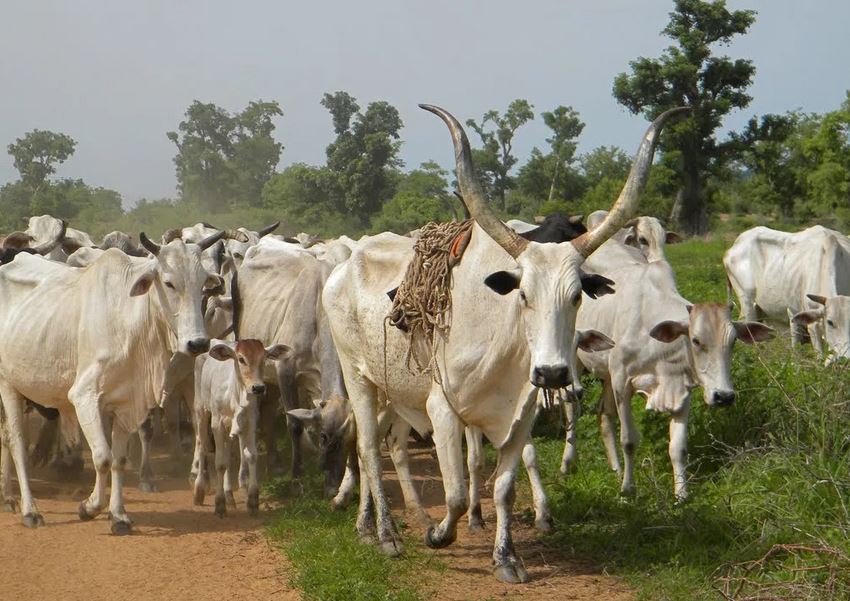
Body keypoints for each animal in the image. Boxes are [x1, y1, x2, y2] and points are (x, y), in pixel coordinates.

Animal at [0, 230, 225, 532]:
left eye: (203, 284)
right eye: (168, 283)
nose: (198, 343)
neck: (130, 320)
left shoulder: (128, 405)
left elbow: (117, 459)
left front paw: (118, 515)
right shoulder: (84, 397)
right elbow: (102, 457)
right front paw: (89, 507)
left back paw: (9, 496)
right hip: (8, 385)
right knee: (16, 442)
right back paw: (29, 510)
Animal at [192, 339, 290, 516]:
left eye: (264, 358)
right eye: (241, 359)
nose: (258, 388)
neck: (235, 395)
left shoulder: (250, 422)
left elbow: (250, 456)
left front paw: (252, 500)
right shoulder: (217, 424)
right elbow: (220, 463)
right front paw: (219, 504)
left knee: (229, 454)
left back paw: (229, 496)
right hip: (201, 410)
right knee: (202, 446)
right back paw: (200, 489)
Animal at [322, 104, 685, 582]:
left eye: (576, 296)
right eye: (523, 295)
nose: (552, 372)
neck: (503, 345)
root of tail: (344, 266)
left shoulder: (520, 414)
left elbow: (506, 489)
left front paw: (506, 557)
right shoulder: (442, 409)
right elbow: (457, 494)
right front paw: (439, 535)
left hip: (393, 389)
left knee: (381, 448)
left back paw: (371, 523)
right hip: (357, 375)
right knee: (366, 447)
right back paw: (385, 534)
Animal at [570, 236, 774, 501]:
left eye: (733, 342)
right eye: (695, 340)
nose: (724, 396)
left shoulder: (681, 389)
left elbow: (678, 448)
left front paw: (682, 494)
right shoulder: (622, 382)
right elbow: (629, 441)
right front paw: (628, 490)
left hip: (605, 374)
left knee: (604, 415)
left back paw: (615, 469)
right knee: (572, 407)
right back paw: (569, 464)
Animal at [724, 225, 850, 359]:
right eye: (830, 322)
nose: (846, 357)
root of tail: (735, 244)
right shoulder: (812, 324)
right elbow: (819, 356)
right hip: (747, 304)